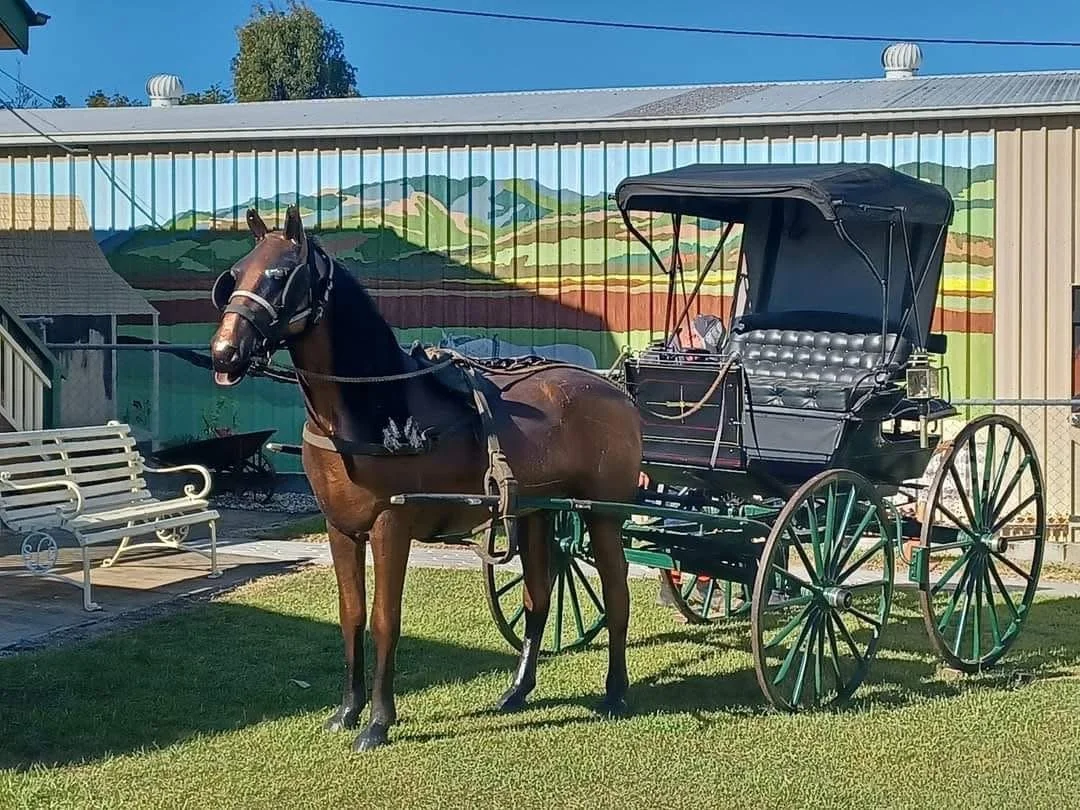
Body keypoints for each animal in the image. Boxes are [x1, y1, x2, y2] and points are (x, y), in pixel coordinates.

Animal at [208, 205, 643, 752]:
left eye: (281, 275)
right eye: (236, 274)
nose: (224, 352)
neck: (375, 410)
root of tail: (615, 390)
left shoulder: (391, 527)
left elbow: (384, 621)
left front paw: (377, 721)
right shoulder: (340, 529)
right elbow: (351, 615)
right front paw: (347, 711)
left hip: (602, 515)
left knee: (616, 595)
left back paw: (616, 692)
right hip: (538, 513)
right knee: (538, 597)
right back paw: (518, 690)